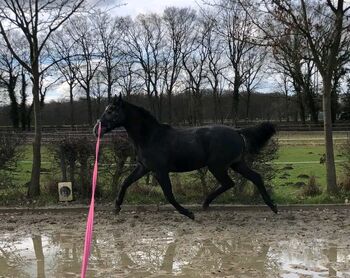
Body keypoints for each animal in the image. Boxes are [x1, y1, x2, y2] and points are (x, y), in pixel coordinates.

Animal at [94, 95, 278, 219]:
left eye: (110, 110)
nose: (96, 129)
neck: (151, 137)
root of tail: (237, 132)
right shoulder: (144, 167)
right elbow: (125, 182)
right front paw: (116, 207)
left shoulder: (160, 171)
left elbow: (169, 194)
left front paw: (188, 213)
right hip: (236, 164)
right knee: (255, 177)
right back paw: (273, 207)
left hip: (217, 166)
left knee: (229, 183)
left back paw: (205, 203)